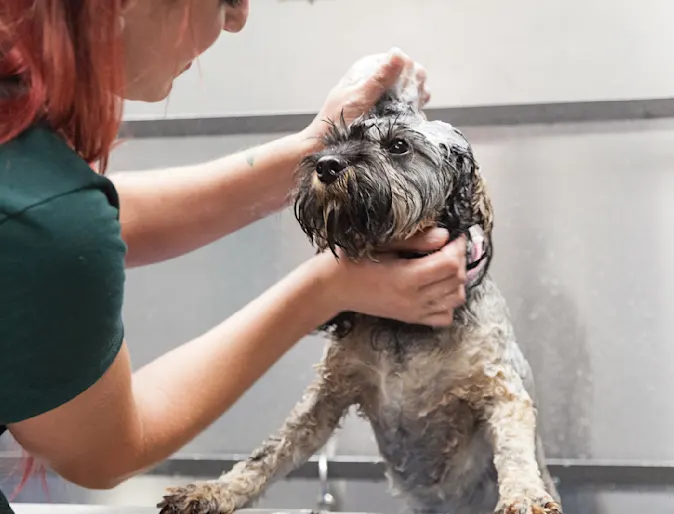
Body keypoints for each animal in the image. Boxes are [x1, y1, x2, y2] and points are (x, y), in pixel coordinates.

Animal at [158, 86, 560, 510]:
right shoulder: (327, 395)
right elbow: (269, 453)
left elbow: (515, 450)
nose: (327, 166)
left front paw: (525, 497)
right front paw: (212, 491)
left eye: (398, 145)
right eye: (336, 139)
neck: (403, 329)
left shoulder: (498, 387)